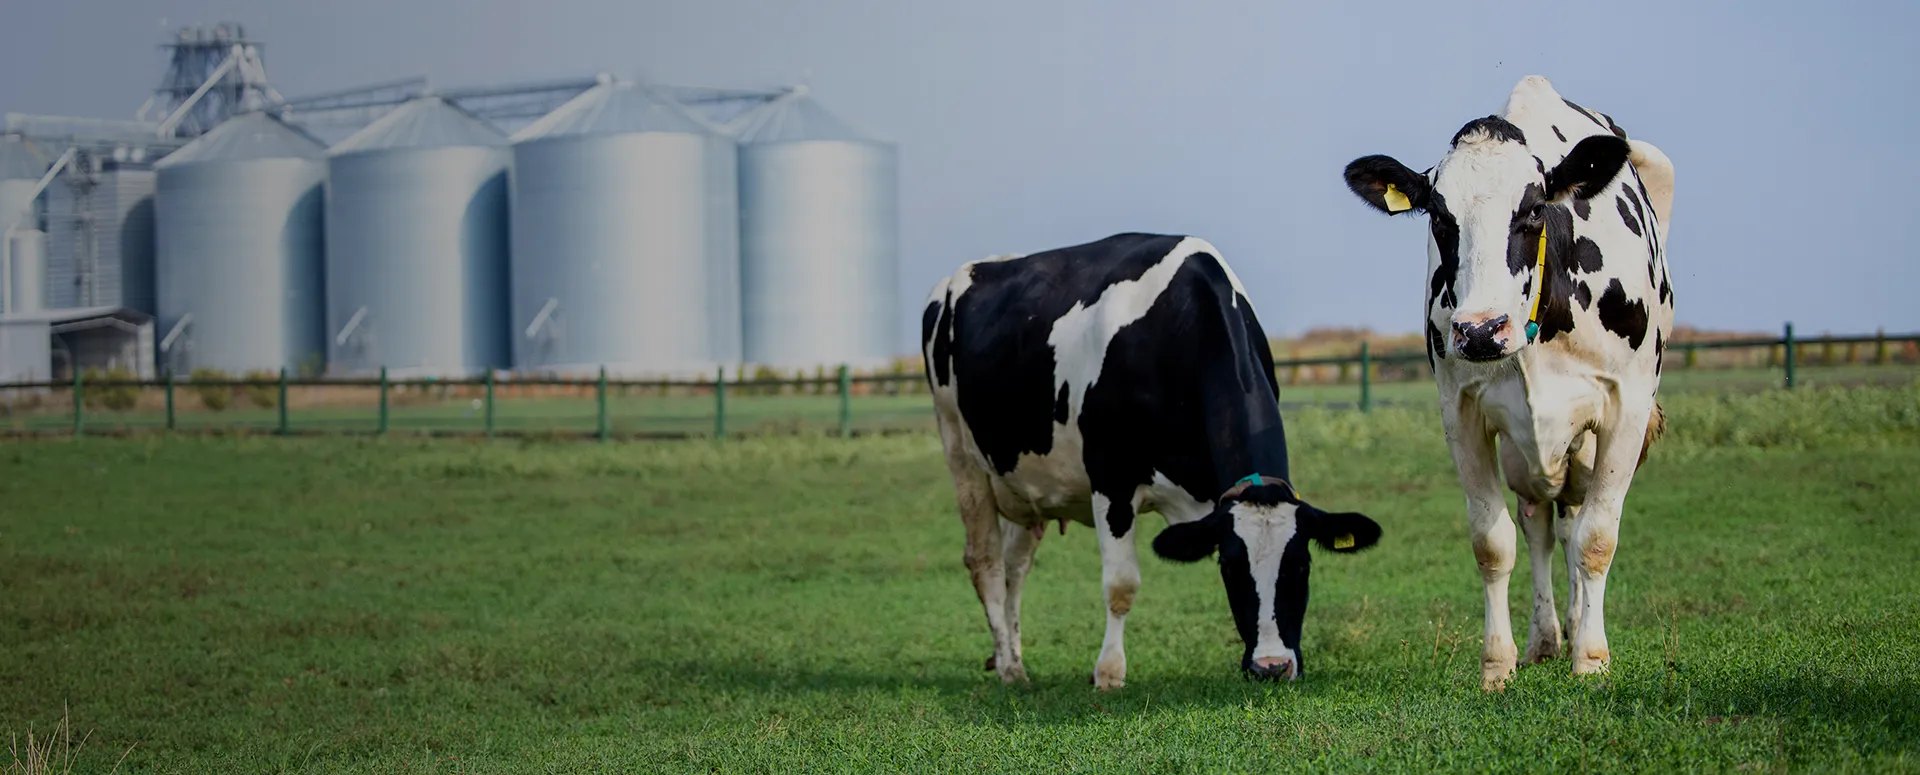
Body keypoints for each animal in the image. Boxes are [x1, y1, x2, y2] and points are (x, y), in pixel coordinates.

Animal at [921, 232, 1384, 690]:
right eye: (1230, 567)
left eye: (1302, 565)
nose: (1272, 666)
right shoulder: (1111, 480)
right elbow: (1121, 584)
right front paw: (1109, 673)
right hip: (961, 455)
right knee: (986, 563)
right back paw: (1008, 667)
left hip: (1027, 484)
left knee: (1015, 568)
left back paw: (1013, 658)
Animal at [1341, 75, 1675, 689]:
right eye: (1438, 217)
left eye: (1535, 210)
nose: (1479, 330)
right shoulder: (1462, 411)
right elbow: (1493, 543)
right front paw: (1498, 663)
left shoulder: (1627, 405)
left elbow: (1598, 538)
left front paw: (1592, 657)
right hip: (1527, 454)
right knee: (1542, 526)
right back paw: (1546, 637)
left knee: (1574, 523)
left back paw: (1576, 628)